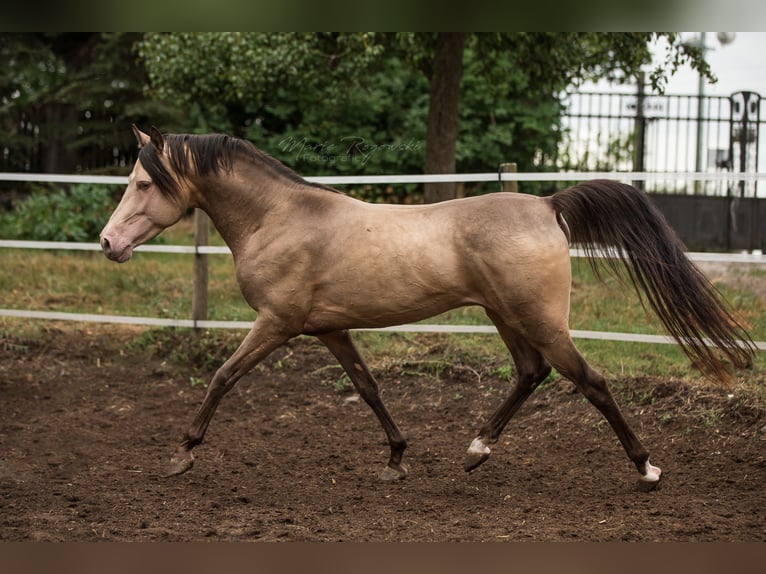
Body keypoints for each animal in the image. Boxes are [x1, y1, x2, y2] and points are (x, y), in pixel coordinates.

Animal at [100, 125, 755, 490]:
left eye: (143, 183)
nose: (108, 243)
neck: (281, 219)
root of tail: (546, 205)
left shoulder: (276, 325)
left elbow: (222, 376)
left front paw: (182, 454)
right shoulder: (329, 329)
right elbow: (367, 388)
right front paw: (396, 459)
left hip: (540, 320)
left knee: (589, 382)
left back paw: (646, 470)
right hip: (505, 317)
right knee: (531, 373)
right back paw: (475, 452)